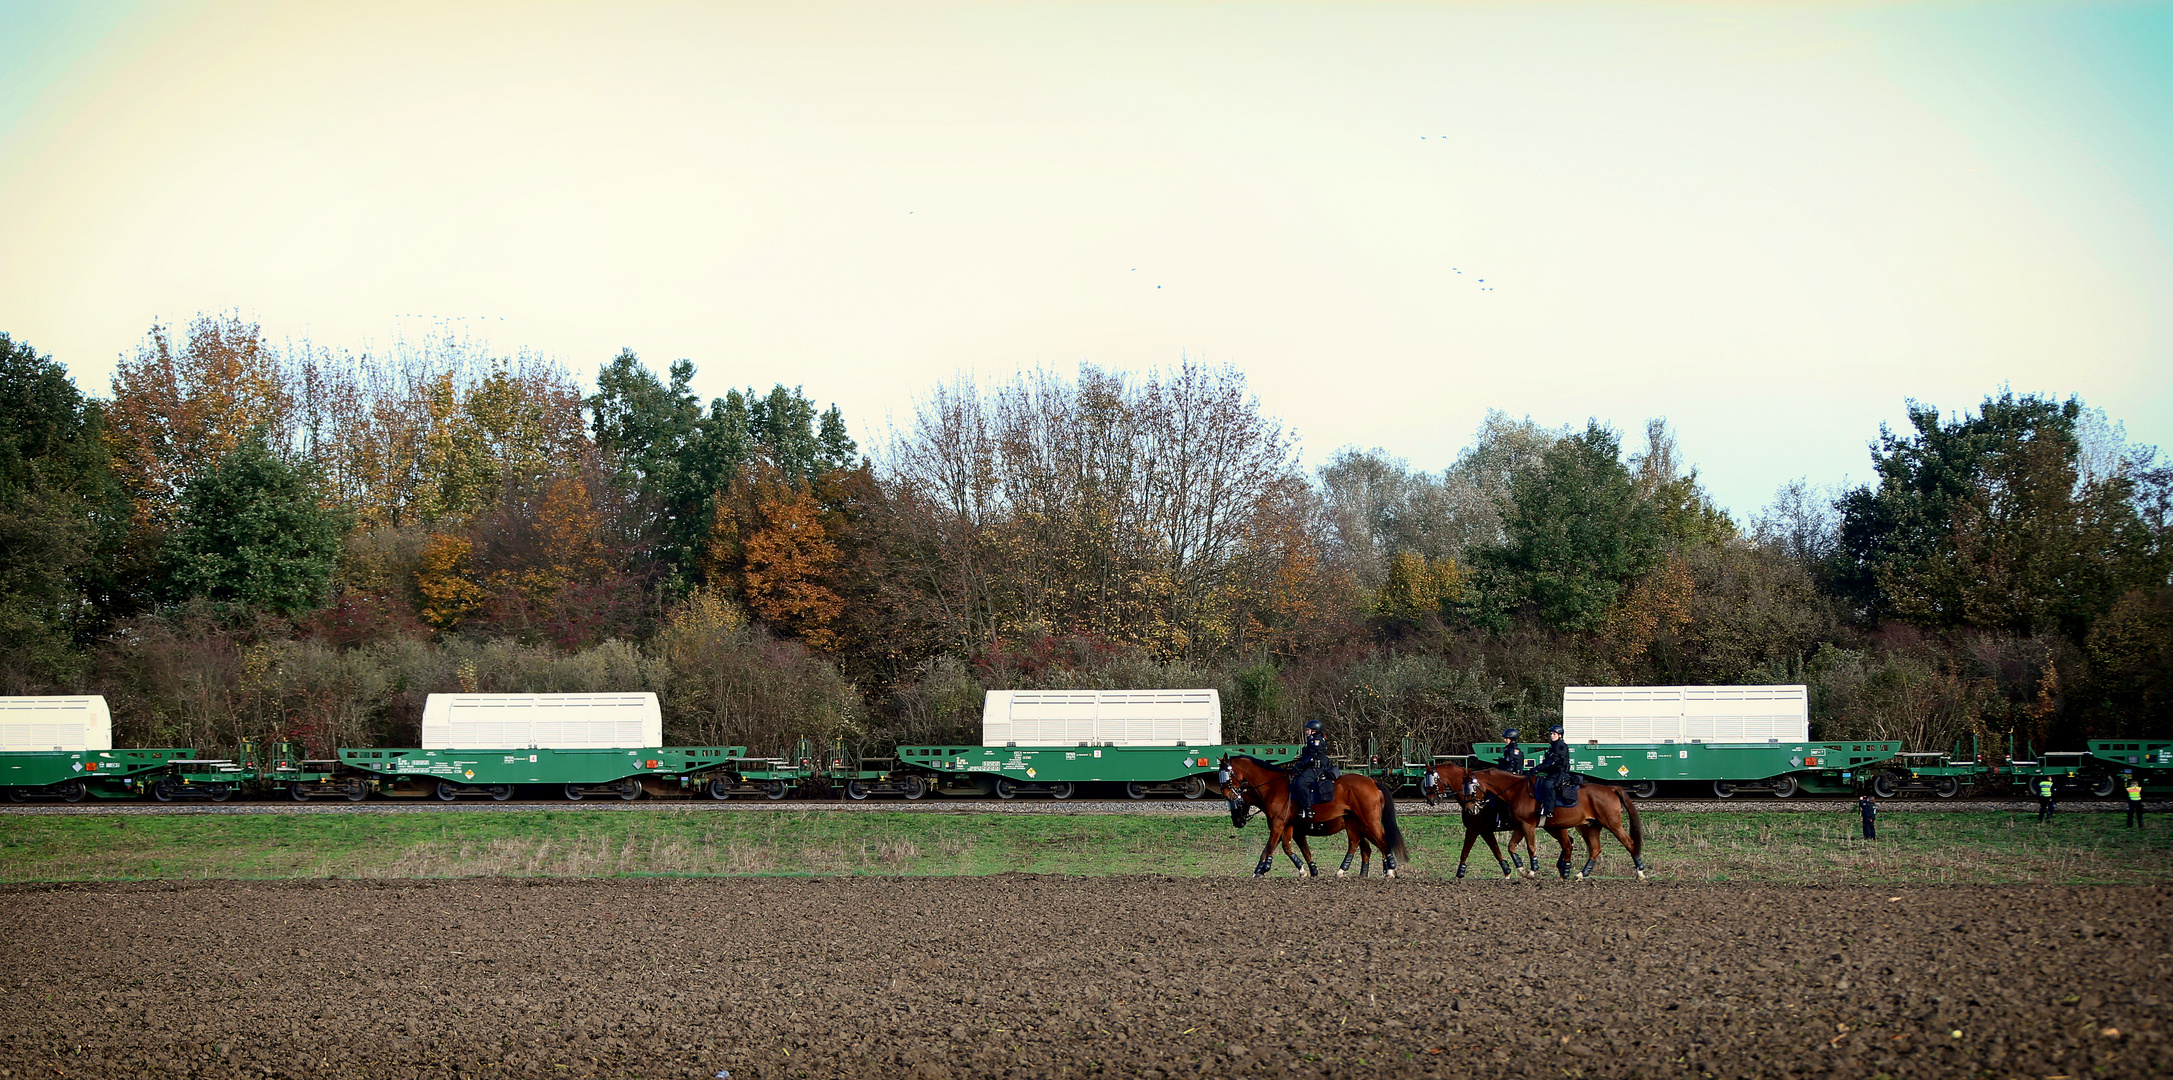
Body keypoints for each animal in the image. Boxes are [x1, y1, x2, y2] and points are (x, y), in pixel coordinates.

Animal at [1225, 747, 1408, 877]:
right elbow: (1291, 848)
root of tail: (1372, 781)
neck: (1273, 786)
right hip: (1355, 824)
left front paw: (1261, 869)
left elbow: (1271, 847)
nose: (1237, 822)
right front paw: (1308, 870)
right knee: (1362, 846)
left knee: (1380, 842)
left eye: (1236, 802)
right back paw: (1357, 872)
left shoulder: (1279, 825)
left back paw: (1388, 870)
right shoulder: (1288, 827)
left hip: (1368, 823)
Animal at [1425, 751, 1642, 877]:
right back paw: (1574, 872)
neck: (1514, 790)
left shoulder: (1480, 828)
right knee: (1588, 848)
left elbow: (1467, 851)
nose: (1430, 800)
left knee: (1628, 843)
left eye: (1471, 787)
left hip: (1610, 824)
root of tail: (1611, 788)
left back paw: (1640, 872)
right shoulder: (1503, 828)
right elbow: (1504, 849)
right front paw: (1512, 870)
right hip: (1587, 826)